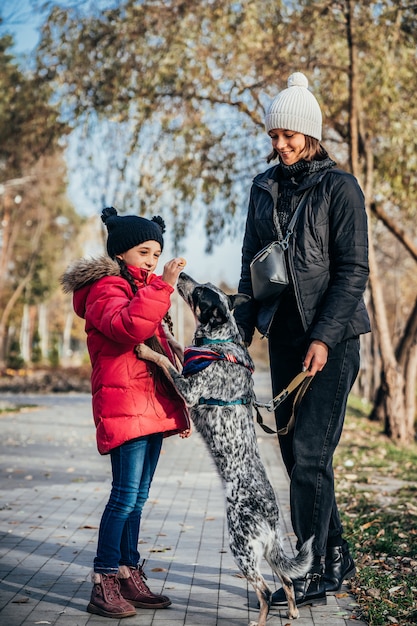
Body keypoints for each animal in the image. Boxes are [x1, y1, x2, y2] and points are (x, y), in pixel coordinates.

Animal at [136, 272, 312, 624]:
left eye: (201, 292)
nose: (183, 274)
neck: (220, 344)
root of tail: (272, 520)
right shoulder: (189, 361)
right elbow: (178, 346)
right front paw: (165, 332)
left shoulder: (189, 389)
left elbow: (165, 359)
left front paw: (146, 349)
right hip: (268, 552)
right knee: (286, 579)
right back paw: (294, 611)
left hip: (239, 547)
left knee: (263, 592)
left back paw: (259, 620)